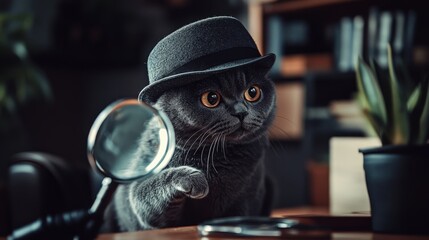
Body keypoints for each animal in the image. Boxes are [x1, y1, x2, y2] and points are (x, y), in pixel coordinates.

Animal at [104, 66, 276, 232]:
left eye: (252, 92)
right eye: (211, 98)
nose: (241, 111)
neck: (218, 156)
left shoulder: (249, 196)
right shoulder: (141, 178)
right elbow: (146, 192)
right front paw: (194, 178)